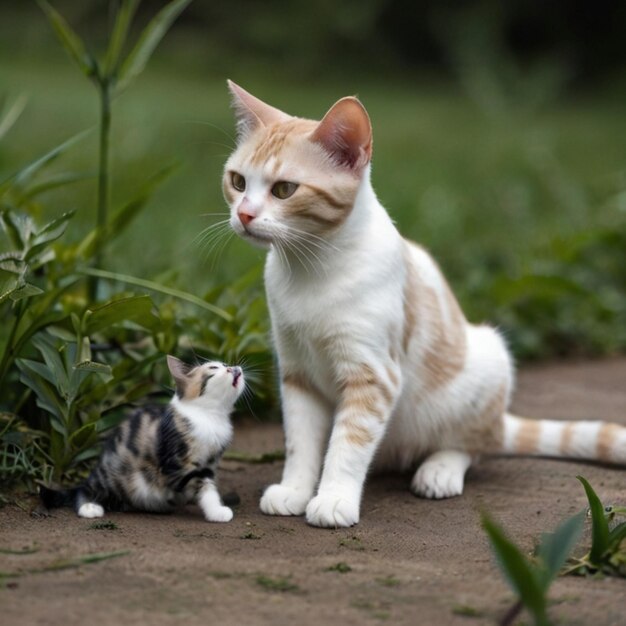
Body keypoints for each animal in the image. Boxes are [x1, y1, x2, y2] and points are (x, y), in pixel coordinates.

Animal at [40, 354, 243, 520]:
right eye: (214, 368)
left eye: (226, 364)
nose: (235, 369)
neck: (211, 415)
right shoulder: (178, 462)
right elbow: (202, 485)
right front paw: (217, 512)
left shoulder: (209, 462)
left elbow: (208, 484)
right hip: (113, 476)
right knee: (85, 487)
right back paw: (88, 506)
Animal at [222, 79, 620, 528]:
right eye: (238, 181)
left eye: (284, 189)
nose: (244, 215)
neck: (309, 271)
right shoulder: (297, 374)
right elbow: (300, 442)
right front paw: (294, 489)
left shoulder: (373, 375)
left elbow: (349, 442)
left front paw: (335, 498)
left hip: (489, 364)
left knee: (473, 445)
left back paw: (440, 470)